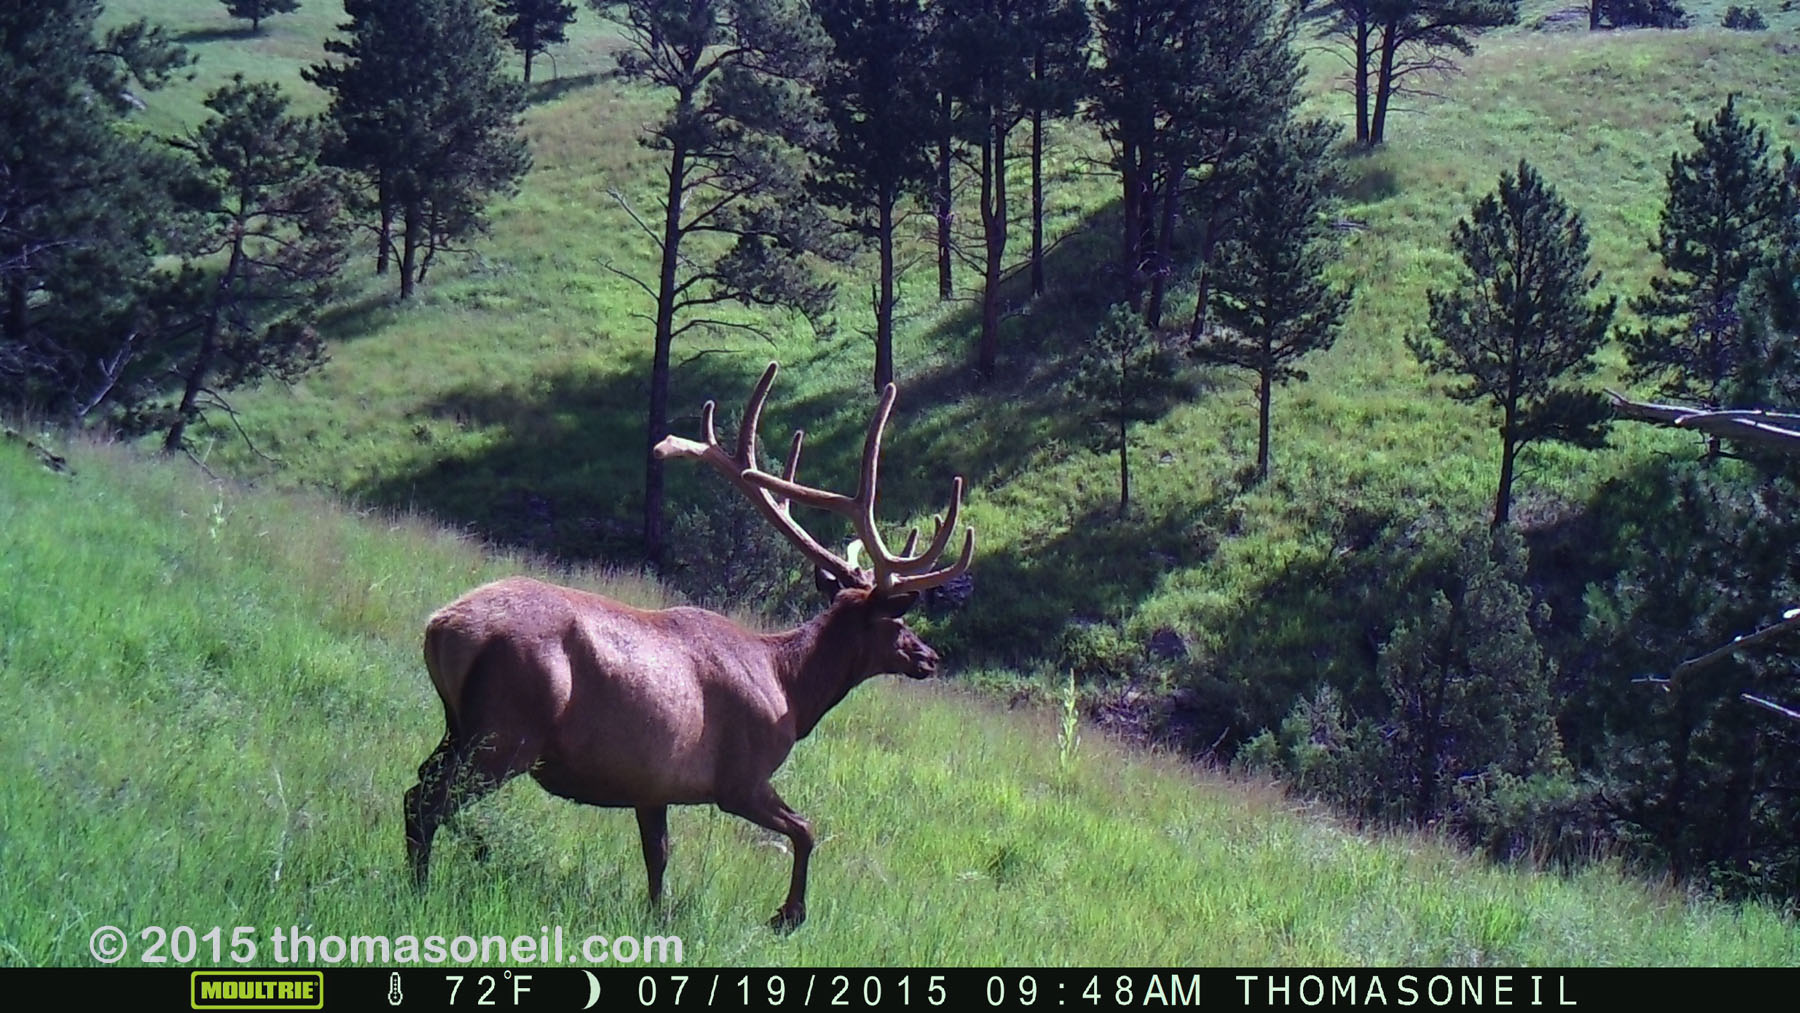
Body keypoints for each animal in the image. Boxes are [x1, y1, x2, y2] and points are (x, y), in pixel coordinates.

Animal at [403, 362, 973, 930]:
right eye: (897, 622)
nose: (930, 657)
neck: (790, 688)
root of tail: (441, 627)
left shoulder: (651, 786)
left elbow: (657, 860)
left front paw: (659, 918)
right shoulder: (740, 778)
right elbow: (806, 829)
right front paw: (788, 914)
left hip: (462, 727)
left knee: (420, 788)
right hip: (507, 730)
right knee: (427, 801)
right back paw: (432, 883)